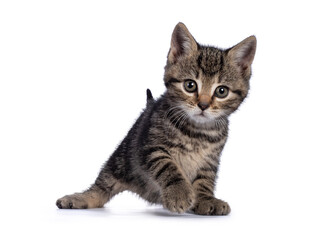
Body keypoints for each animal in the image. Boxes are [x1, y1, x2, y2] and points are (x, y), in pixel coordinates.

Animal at [56, 22, 256, 216]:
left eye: (221, 91)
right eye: (190, 85)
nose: (203, 105)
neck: (197, 131)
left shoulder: (210, 161)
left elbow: (205, 180)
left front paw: (206, 199)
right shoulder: (150, 146)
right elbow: (167, 165)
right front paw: (179, 193)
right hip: (122, 157)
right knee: (101, 188)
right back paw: (78, 198)